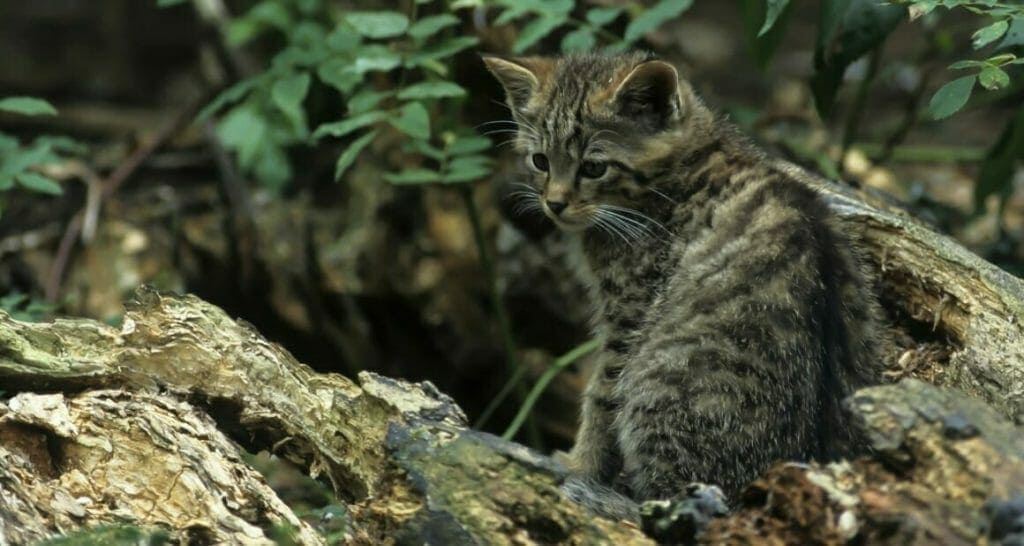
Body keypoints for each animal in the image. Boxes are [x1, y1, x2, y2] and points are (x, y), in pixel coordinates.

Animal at [483, 52, 884, 520]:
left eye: (594, 167)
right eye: (540, 161)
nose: (555, 204)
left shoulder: (629, 313)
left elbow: (601, 398)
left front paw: (581, 466)